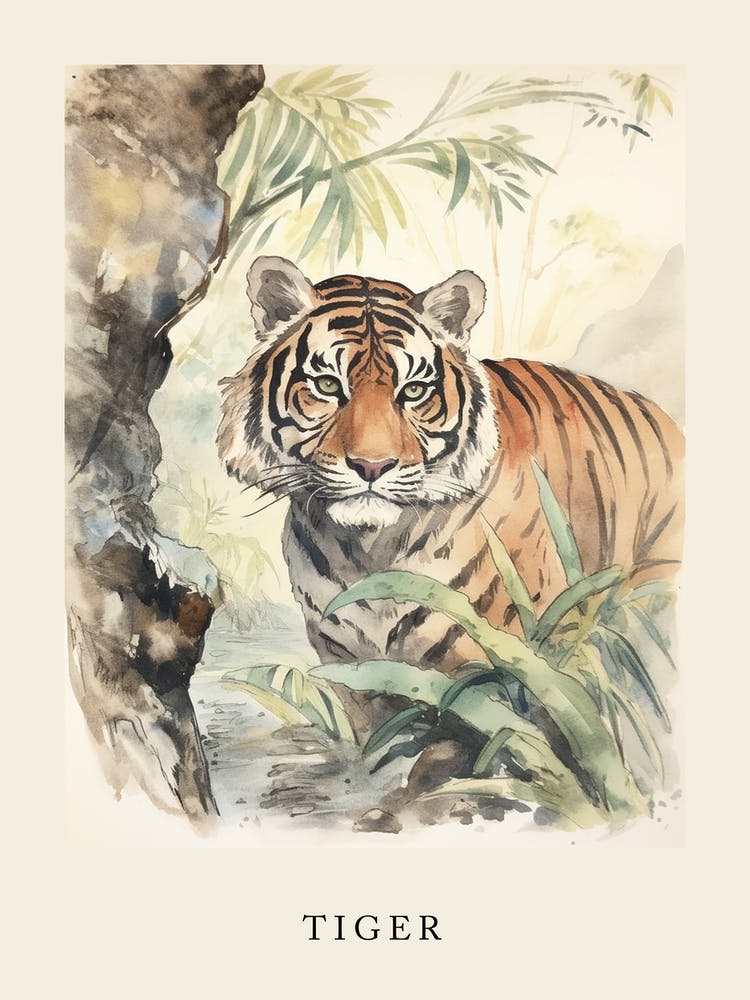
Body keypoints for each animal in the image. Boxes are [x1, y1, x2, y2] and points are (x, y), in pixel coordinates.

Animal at [217, 256, 684, 734]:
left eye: (413, 391)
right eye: (328, 386)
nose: (372, 466)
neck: (366, 552)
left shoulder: (497, 670)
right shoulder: (351, 671)